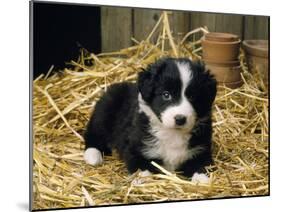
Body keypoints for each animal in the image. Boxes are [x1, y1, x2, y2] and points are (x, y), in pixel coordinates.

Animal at [83, 57, 217, 182]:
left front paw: (202, 180)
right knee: (93, 134)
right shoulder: (136, 148)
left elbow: (201, 167)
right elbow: (142, 168)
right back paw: (93, 156)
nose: (180, 119)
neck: (172, 133)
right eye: (166, 95)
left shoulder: (200, 151)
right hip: (105, 110)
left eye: (193, 96)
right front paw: (142, 179)